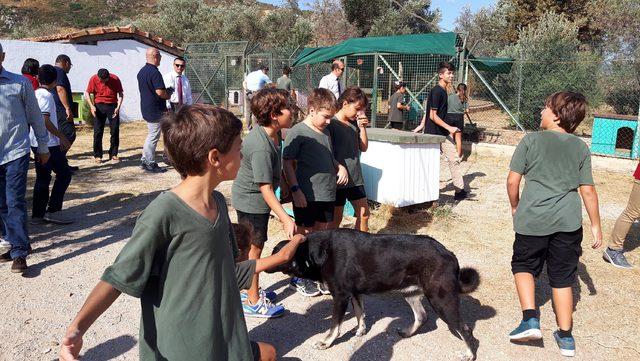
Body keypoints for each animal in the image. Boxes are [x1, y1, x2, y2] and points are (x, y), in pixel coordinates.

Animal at [264, 229, 480, 358]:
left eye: (276, 251)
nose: (265, 262)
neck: (317, 252)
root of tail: (449, 253)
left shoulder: (340, 296)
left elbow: (335, 325)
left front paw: (326, 342)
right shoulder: (354, 293)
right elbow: (360, 313)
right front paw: (361, 330)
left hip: (441, 300)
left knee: (465, 330)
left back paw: (470, 354)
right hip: (410, 293)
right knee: (422, 316)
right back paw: (407, 332)